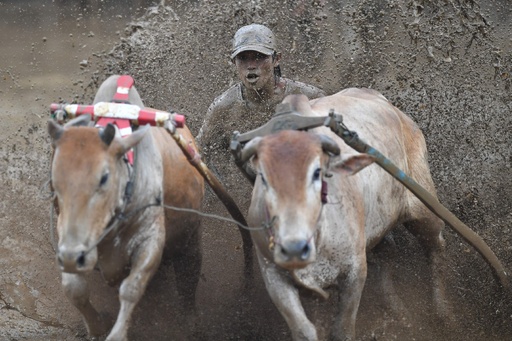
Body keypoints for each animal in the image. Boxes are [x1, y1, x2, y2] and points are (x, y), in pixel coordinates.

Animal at [45, 75, 202, 340]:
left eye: (104, 178)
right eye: (56, 179)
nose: (74, 256)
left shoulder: (151, 239)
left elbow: (131, 288)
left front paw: (116, 333)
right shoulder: (66, 239)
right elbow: (73, 288)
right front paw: (96, 327)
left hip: (190, 242)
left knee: (188, 282)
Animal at [242, 88, 446, 340]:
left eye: (317, 172)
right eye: (263, 177)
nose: (293, 247)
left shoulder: (355, 271)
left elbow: (343, 330)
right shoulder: (274, 276)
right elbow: (304, 331)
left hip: (424, 209)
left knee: (436, 247)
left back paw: (442, 311)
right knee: (389, 254)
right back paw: (396, 309)